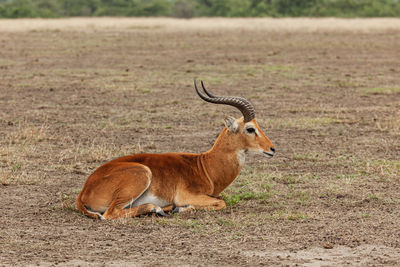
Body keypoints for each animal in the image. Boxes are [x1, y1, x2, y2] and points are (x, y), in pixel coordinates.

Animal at [75, 80, 276, 221]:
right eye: (250, 128)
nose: (272, 149)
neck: (206, 166)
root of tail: (84, 190)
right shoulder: (188, 195)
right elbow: (221, 202)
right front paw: (181, 208)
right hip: (140, 175)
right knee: (110, 213)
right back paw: (159, 209)